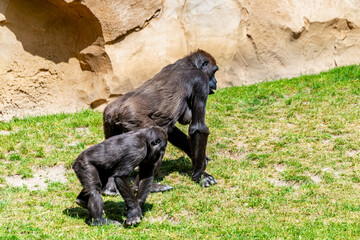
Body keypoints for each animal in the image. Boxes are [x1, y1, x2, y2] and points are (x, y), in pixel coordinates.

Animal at [102, 49, 218, 195]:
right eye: (214, 72)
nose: (216, 81)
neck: (190, 64)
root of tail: (116, 111)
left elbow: (171, 129)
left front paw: (196, 156)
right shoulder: (201, 81)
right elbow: (198, 128)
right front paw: (200, 174)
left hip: (109, 119)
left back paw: (110, 187)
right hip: (134, 121)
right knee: (158, 144)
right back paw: (144, 186)